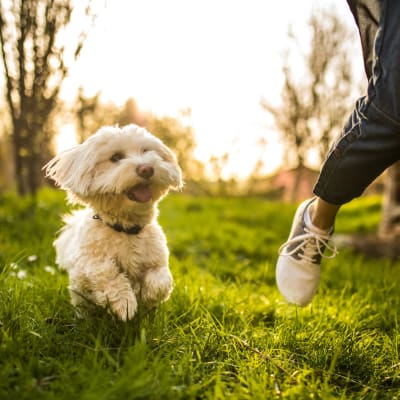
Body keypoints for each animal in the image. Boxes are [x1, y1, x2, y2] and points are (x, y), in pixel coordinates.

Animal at [44, 123, 182, 320]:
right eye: (116, 157)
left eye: (146, 151)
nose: (147, 168)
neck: (125, 229)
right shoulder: (87, 262)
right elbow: (107, 273)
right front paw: (125, 304)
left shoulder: (157, 258)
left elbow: (161, 278)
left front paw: (148, 295)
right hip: (80, 295)